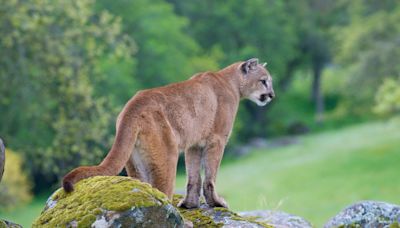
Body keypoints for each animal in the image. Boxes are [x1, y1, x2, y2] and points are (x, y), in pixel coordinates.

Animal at [62, 58, 276, 208]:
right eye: (264, 81)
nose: (272, 95)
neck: (231, 83)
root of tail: (132, 105)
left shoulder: (194, 144)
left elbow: (193, 177)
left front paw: (189, 204)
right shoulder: (217, 139)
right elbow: (210, 176)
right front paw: (216, 202)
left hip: (135, 162)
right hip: (167, 155)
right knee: (162, 192)